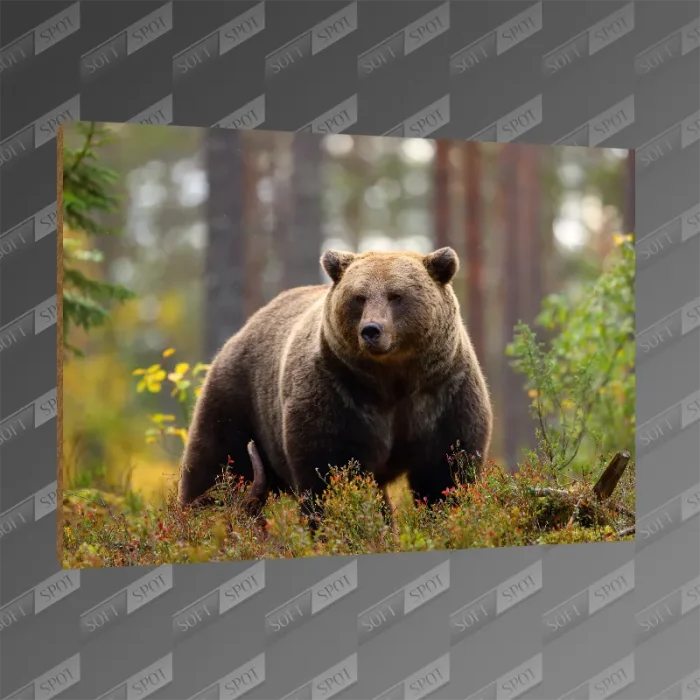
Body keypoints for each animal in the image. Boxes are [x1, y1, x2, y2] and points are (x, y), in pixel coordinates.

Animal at [178, 246, 493, 530]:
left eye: (396, 295)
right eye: (359, 297)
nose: (371, 330)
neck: (393, 381)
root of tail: (245, 328)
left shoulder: (443, 394)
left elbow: (445, 474)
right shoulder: (339, 395)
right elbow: (329, 471)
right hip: (238, 398)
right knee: (216, 466)